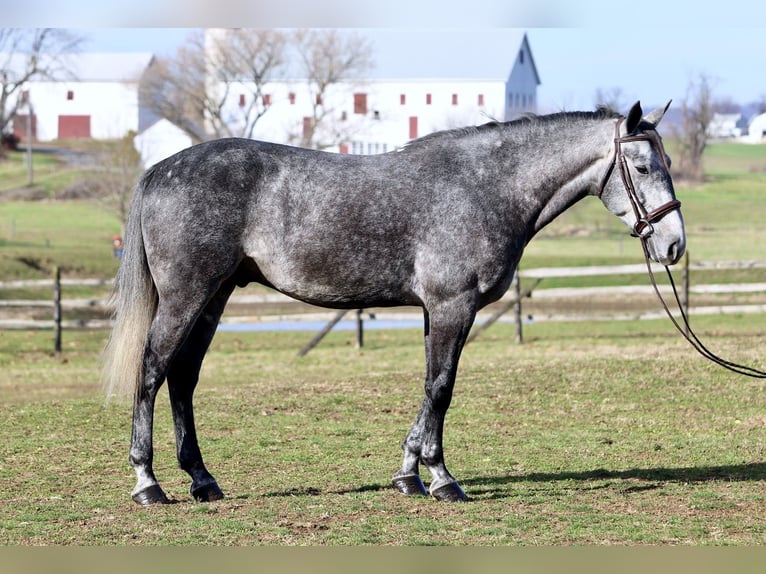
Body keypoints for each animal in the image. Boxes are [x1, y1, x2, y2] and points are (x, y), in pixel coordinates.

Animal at [102, 101, 685, 504]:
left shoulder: (435, 311)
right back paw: (148, 483)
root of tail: (161, 169)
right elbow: (442, 388)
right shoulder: (453, 306)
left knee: (183, 378)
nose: (673, 245)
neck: (484, 187)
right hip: (187, 296)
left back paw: (202, 480)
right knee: (152, 371)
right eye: (642, 167)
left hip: (215, 296)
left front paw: (409, 475)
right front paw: (443, 479)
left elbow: (429, 388)